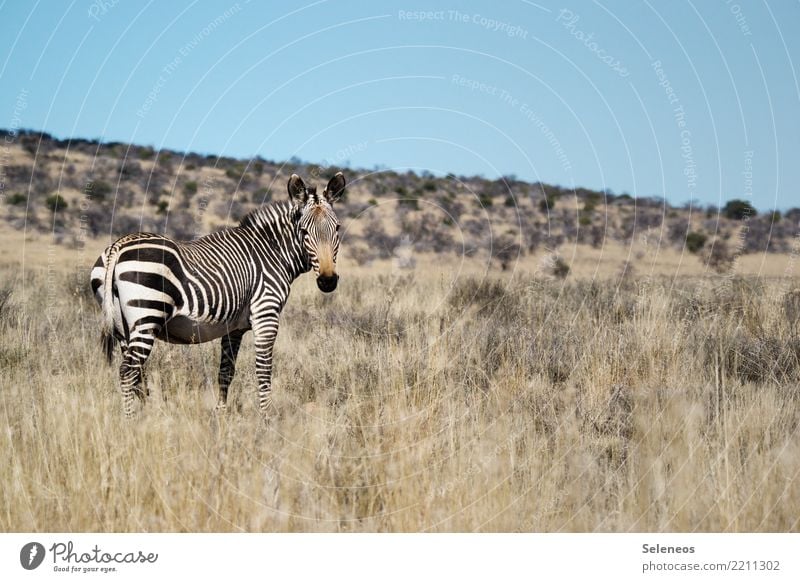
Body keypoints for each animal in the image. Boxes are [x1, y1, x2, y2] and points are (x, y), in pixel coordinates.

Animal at [91, 171, 346, 418]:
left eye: (337, 228)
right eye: (303, 231)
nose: (328, 280)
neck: (273, 251)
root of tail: (117, 246)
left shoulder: (234, 327)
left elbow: (225, 371)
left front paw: (221, 416)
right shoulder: (266, 314)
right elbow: (264, 371)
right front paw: (266, 420)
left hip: (123, 326)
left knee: (136, 373)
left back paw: (147, 415)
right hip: (147, 315)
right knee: (127, 372)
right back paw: (131, 421)